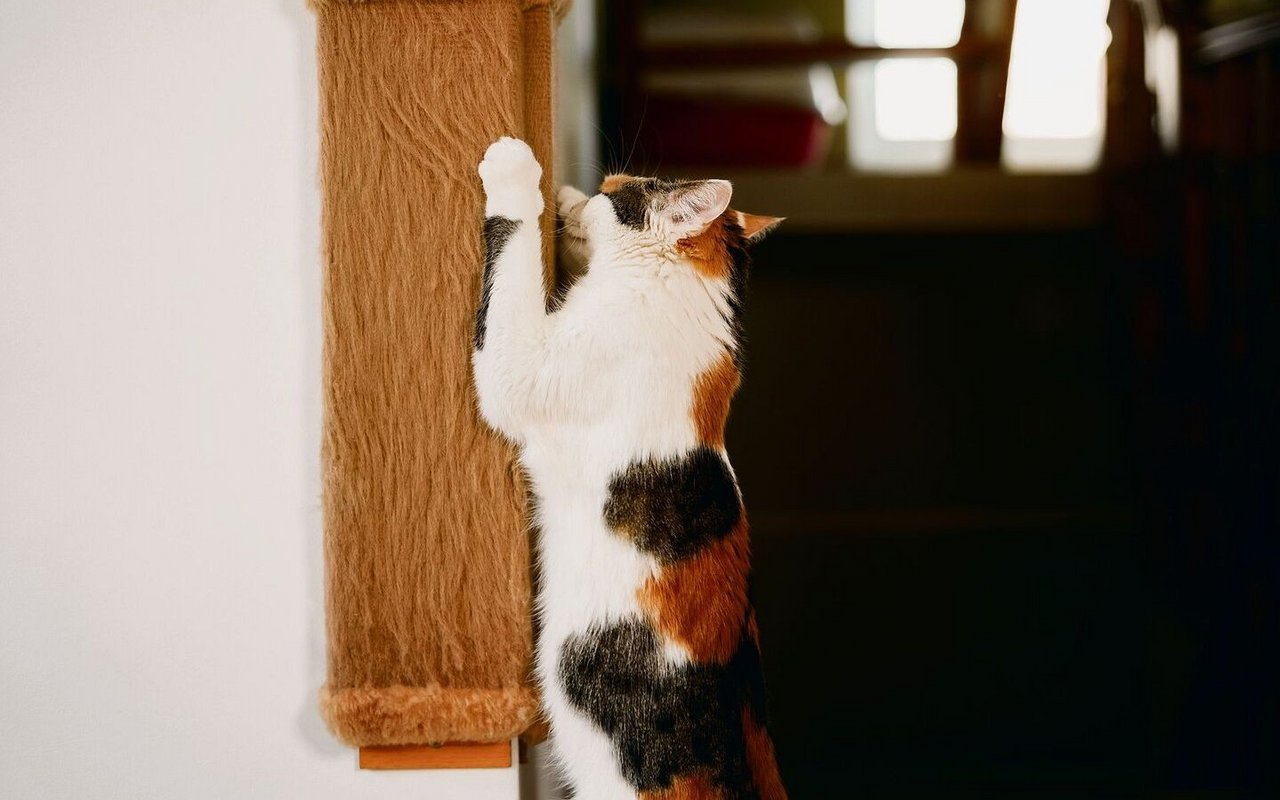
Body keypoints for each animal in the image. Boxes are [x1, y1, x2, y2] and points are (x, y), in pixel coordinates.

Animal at [476, 138, 783, 798]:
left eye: (613, 189)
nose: (579, 193)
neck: (675, 292)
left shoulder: (520, 371)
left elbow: (511, 254)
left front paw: (516, 171)